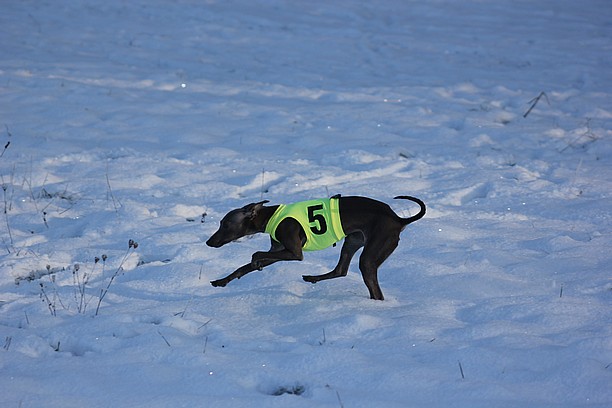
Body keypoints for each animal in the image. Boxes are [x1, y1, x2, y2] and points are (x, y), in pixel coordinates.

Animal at [206, 194, 426, 300]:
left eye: (225, 225)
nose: (208, 242)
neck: (270, 216)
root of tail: (398, 219)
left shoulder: (295, 253)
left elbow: (255, 254)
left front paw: (255, 262)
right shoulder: (277, 252)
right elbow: (243, 267)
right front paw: (222, 281)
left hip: (371, 254)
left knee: (374, 288)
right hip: (353, 241)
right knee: (341, 270)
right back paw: (313, 278)